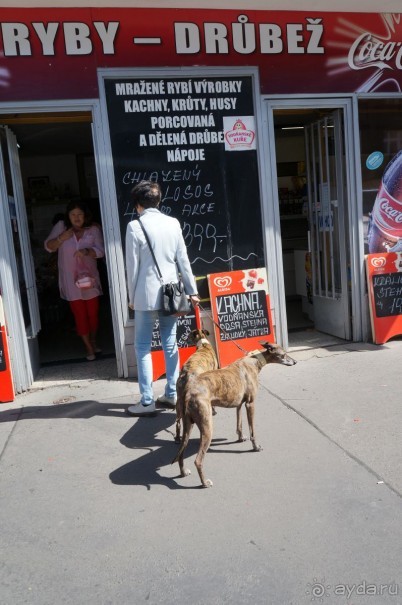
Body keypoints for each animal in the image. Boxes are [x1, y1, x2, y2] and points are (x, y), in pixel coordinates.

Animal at [171, 342, 296, 488]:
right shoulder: (250, 404)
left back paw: (183, 472)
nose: (295, 362)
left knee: (181, 451)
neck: (254, 361)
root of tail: (189, 392)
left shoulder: (239, 404)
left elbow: (239, 423)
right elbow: (252, 431)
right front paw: (256, 447)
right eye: (284, 354)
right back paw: (204, 483)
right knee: (198, 460)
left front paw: (241, 437)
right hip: (207, 427)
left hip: (188, 426)